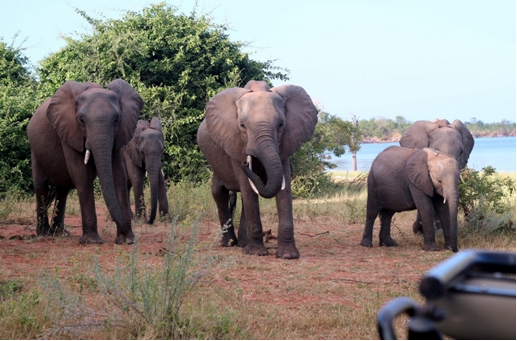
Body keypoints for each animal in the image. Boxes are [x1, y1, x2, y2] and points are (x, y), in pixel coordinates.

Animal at [27, 79, 142, 244]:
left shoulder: (119, 134)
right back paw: (43, 234)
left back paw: (59, 233)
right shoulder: (70, 131)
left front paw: (126, 241)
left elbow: (118, 175)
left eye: (117, 119)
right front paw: (91, 241)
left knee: (63, 190)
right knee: (41, 187)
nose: (125, 232)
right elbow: (82, 176)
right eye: (81, 120)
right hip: (35, 151)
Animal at [198, 80, 318, 258]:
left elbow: (284, 188)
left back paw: (242, 243)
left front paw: (288, 255)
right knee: (219, 192)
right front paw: (256, 253)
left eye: (281, 125)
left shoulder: (285, 143)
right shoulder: (234, 142)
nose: (245, 164)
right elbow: (247, 188)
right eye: (242, 126)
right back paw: (229, 243)